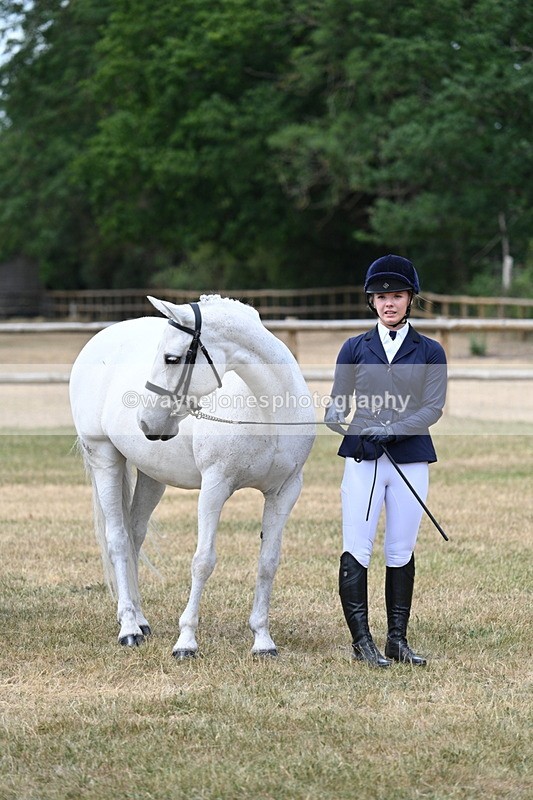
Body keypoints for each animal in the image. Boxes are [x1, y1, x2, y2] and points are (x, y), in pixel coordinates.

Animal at [69, 295, 316, 657]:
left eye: (171, 358)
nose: (146, 422)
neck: (268, 411)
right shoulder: (215, 487)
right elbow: (203, 561)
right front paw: (186, 642)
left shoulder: (285, 491)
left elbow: (268, 562)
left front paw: (262, 640)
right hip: (104, 458)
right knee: (117, 540)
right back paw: (129, 628)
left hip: (151, 476)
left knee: (134, 536)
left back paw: (140, 621)